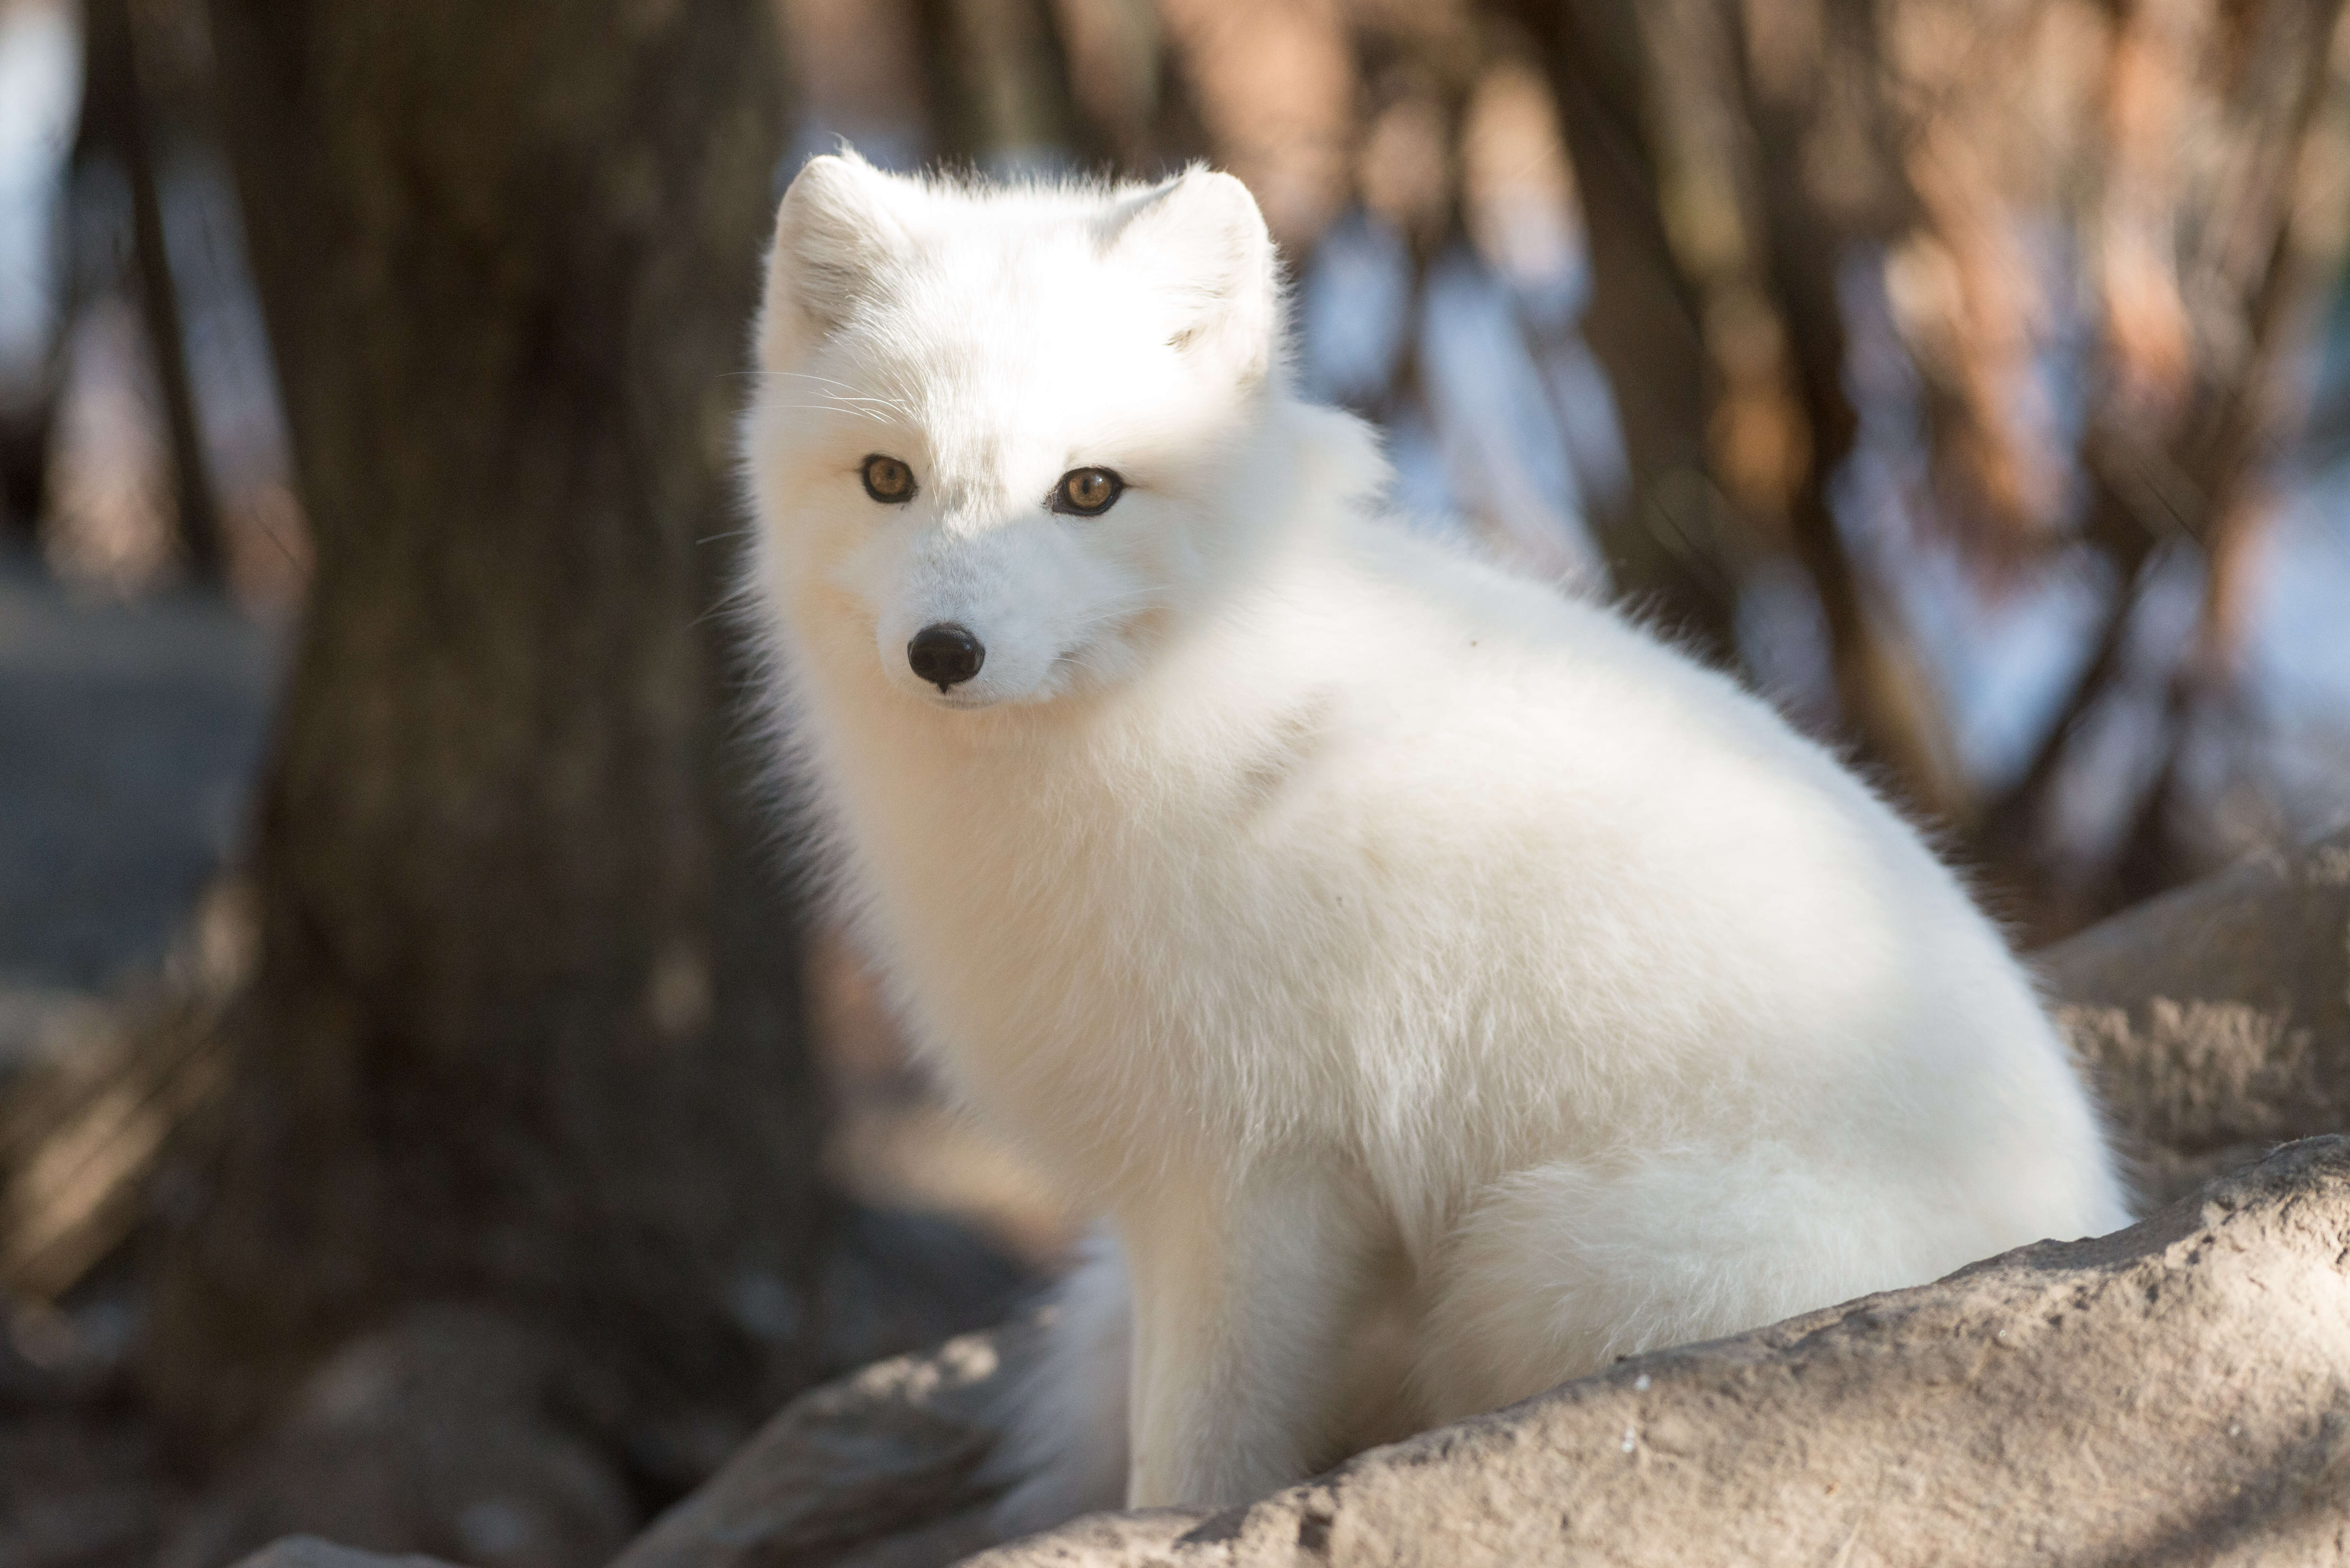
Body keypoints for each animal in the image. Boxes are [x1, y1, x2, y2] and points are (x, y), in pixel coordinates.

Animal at [742, 156, 2143, 1533]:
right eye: (887, 478)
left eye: (1087, 490)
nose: (944, 652)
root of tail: (2084, 1200)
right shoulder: (1170, 1191)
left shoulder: (1262, 1169)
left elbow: (1194, 1455)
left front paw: (1154, 1532)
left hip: (1536, 1263)